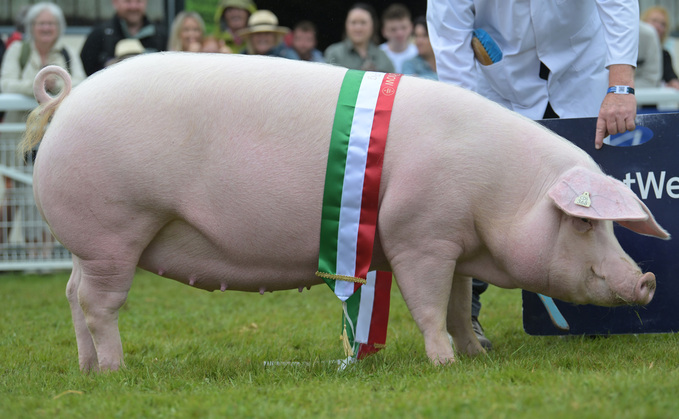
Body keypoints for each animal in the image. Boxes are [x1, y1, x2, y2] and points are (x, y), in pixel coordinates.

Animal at [21, 52, 668, 370]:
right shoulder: (419, 237)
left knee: (72, 295)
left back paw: (86, 369)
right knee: (99, 306)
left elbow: (459, 304)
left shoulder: (455, 243)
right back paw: (115, 370)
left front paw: (477, 355)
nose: (646, 280)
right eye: (582, 222)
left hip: (89, 245)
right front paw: (443, 364)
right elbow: (429, 304)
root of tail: (69, 97)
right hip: (114, 230)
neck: (501, 190)